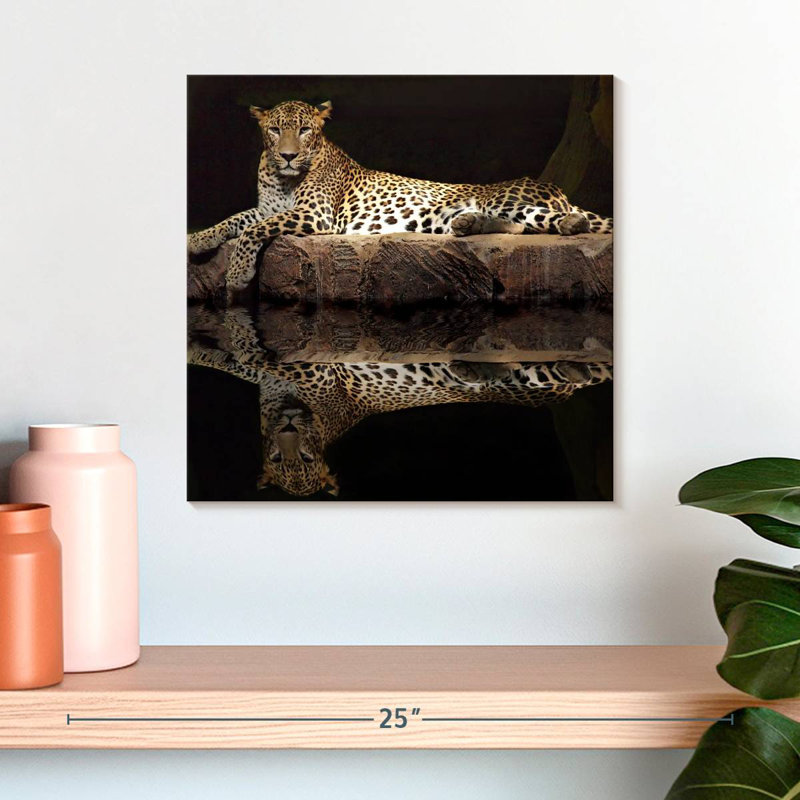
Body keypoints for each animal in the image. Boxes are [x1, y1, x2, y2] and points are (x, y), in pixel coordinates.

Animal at [187, 100, 613, 300]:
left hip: (508, 199)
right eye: (275, 131)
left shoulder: (315, 215)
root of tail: (554, 187)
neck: (282, 177)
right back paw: (467, 223)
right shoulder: (267, 208)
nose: (289, 155)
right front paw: (197, 240)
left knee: (542, 219)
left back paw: (569, 223)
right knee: (517, 225)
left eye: (305, 130)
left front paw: (238, 274)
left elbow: (254, 231)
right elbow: (235, 220)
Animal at [188, 308, 612, 497]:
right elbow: (230, 356)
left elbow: (255, 352)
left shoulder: (312, 371)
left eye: (306, 459)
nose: (289, 429)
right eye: (278, 460)